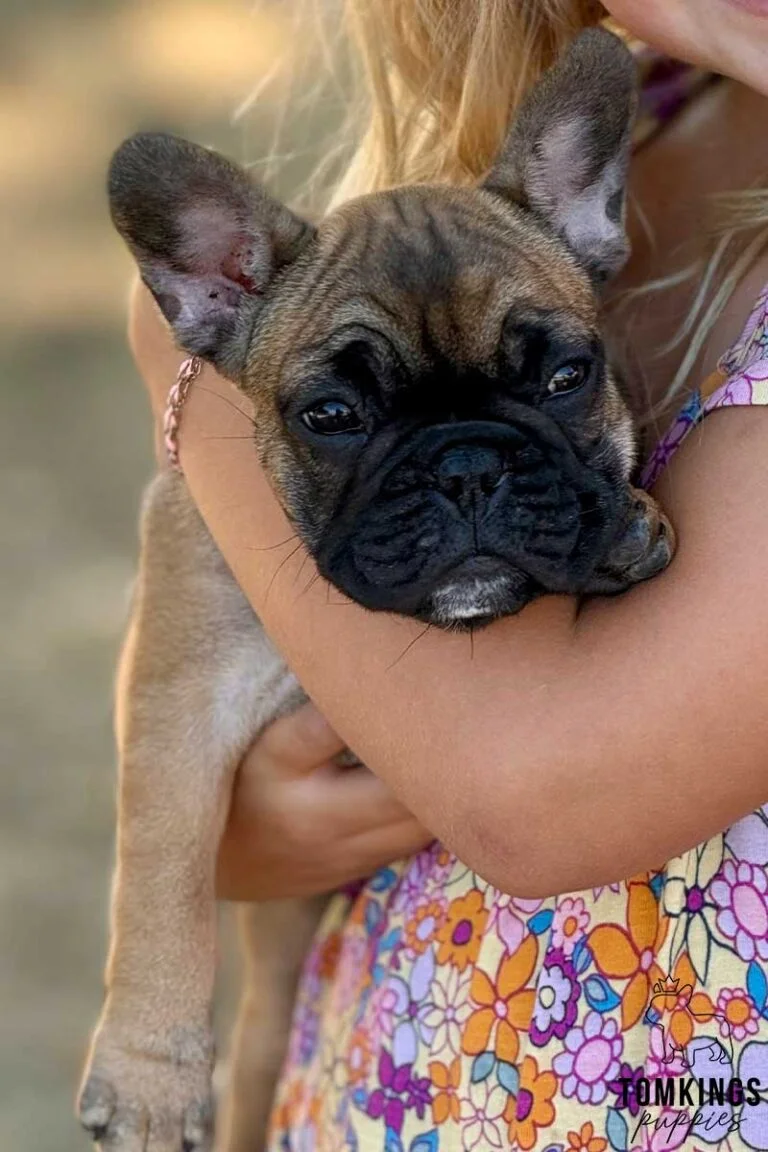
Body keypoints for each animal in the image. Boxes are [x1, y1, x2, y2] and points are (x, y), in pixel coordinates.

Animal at [78, 27, 677, 1152]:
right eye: (332, 415)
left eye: (565, 377)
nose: (466, 464)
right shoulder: (179, 696)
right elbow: (162, 868)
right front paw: (145, 1078)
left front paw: (624, 526)